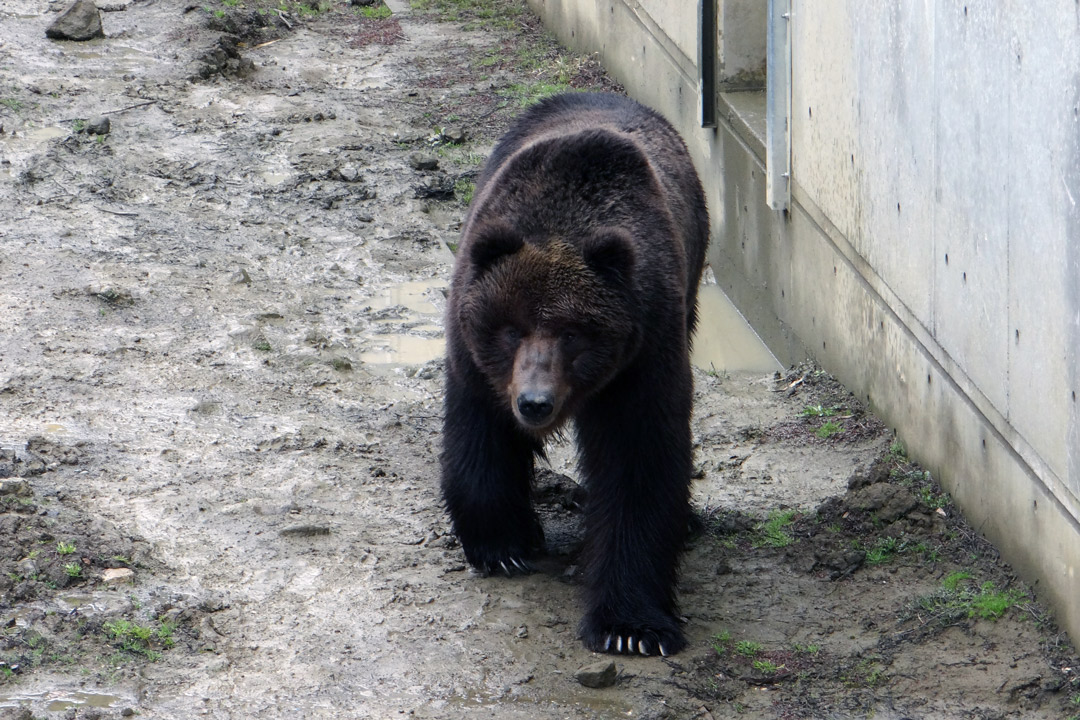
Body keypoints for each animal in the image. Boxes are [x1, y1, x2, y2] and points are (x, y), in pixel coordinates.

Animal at [438, 91, 708, 660]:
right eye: (511, 328)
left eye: (572, 333)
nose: (534, 402)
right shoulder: (477, 360)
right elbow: (480, 435)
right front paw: (502, 543)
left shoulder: (643, 353)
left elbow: (638, 465)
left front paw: (631, 626)